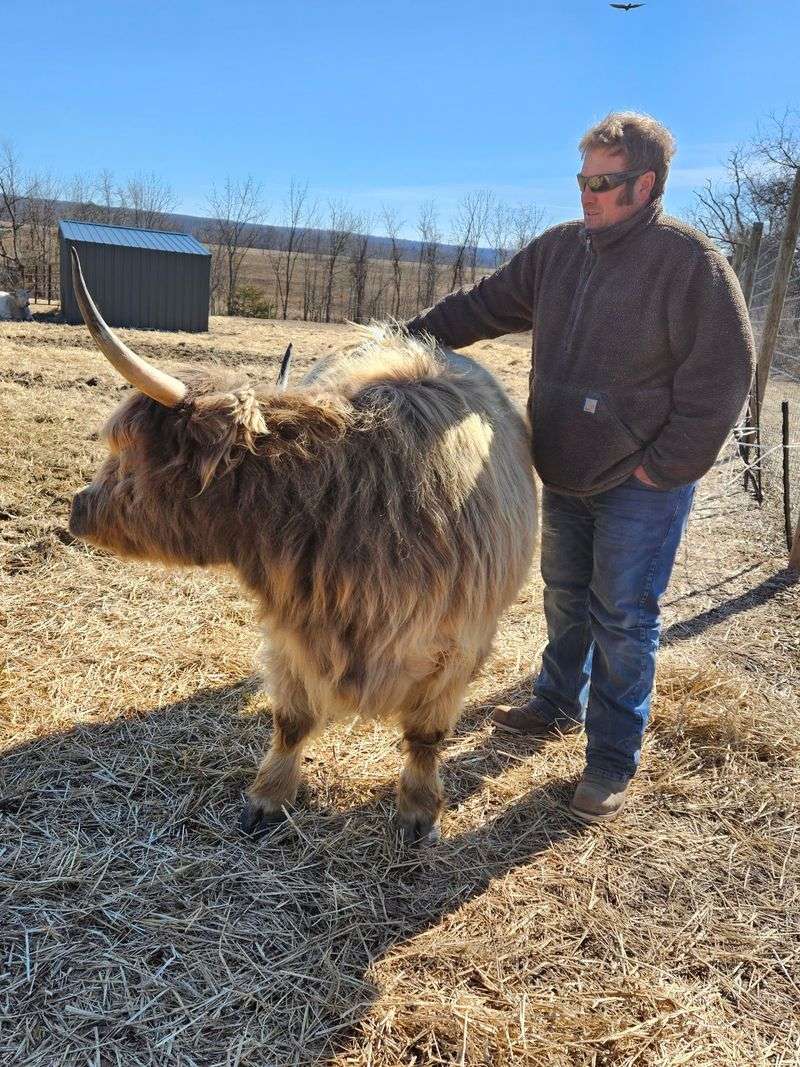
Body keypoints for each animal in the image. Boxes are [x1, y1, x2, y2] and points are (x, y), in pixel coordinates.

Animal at [67, 248, 538, 843]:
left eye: (127, 451)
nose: (77, 507)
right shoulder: (292, 628)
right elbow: (291, 720)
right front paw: (269, 796)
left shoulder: (459, 646)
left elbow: (426, 736)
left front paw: (419, 810)